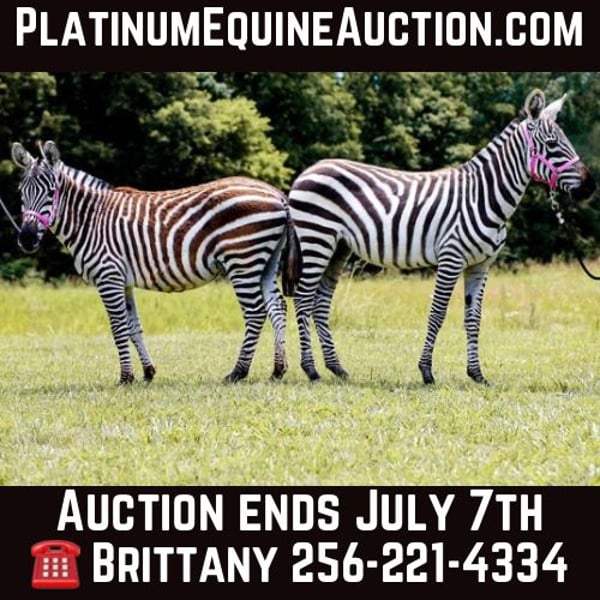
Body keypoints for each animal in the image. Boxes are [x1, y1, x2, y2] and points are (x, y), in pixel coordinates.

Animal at [12, 140, 301, 385]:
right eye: (21, 192)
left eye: (51, 192)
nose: (27, 239)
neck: (91, 220)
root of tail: (277, 194)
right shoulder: (123, 281)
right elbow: (133, 326)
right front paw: (148, 372)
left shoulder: (108, 276)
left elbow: (118, 327)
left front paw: (126, 377)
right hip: (266, 262)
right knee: (277, 308)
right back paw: (278, 370)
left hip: (242, 259)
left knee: (255, 312)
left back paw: (238, 372)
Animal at [284, 89, 596, 385]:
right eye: (552, 144)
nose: (590, 187)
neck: (484, 196)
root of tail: (308, 171)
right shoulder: (451, 258)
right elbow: (438, 313)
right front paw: (426, 371)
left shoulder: (481, 265)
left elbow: (473, 318)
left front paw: (477, 374)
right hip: (317, 238)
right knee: (303, 298)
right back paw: (311, 369)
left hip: (338, 246)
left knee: (320, 302)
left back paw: (336, 368)